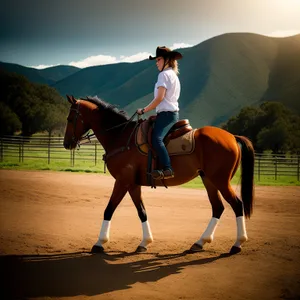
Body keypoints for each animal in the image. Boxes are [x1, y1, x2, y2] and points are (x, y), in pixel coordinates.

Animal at [64, 95, 254, 254]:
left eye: (70, 119)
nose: (66, 143)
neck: (120, 136)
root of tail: (232, 136)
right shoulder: (132, 184)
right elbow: (142, 211)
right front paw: (145, 242)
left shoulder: (122, 181)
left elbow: (109, 209)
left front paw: (99, 242)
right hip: (208, 180)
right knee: (218, 207)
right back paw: (200, 242)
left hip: (220, 181)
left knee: (237, 205)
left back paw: (237, 243)